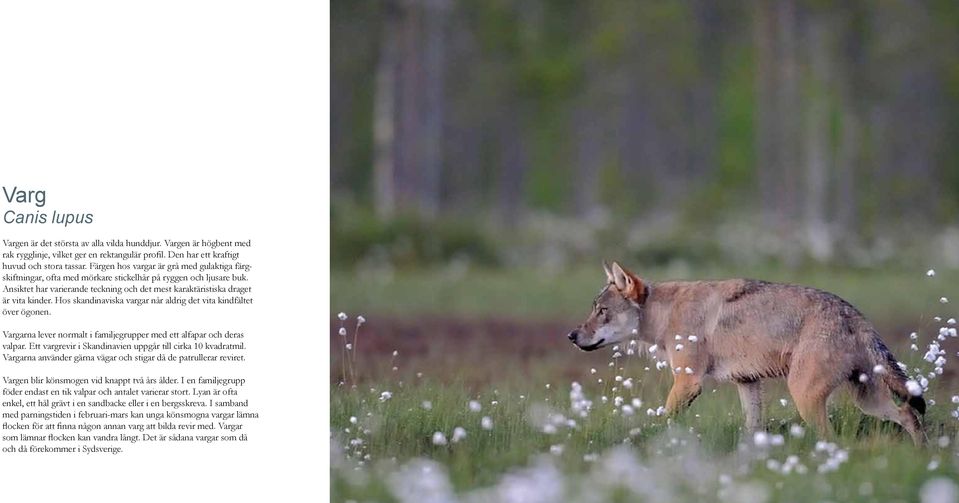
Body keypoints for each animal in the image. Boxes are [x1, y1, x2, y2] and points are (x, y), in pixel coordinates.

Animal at [568, 262, 928, 446]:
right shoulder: (748, 383)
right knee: (909, 414)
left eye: (601, 311)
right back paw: (923, 456)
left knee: (833, 438)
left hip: (806, 396)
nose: (571, 336)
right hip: (866, 401)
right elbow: (752, 431)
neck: (666, 312)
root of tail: (853, 314)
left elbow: (662, 421)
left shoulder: (688, 383)